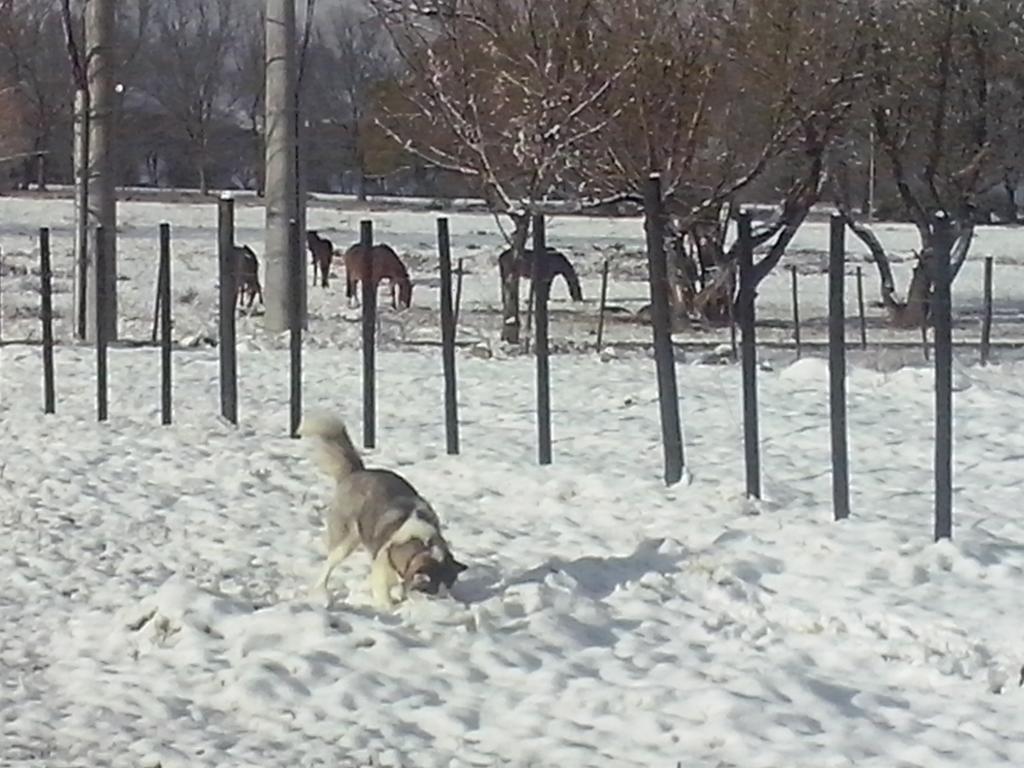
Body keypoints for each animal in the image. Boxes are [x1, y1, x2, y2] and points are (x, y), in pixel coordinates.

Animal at [299, 415, 468, 606]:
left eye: (449, 586)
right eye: (431, 591)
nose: (447, 603)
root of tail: (358, 472)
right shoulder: (381, 575)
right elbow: (385, 600)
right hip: (344, 540)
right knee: (328, 565)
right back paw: (321, 591)